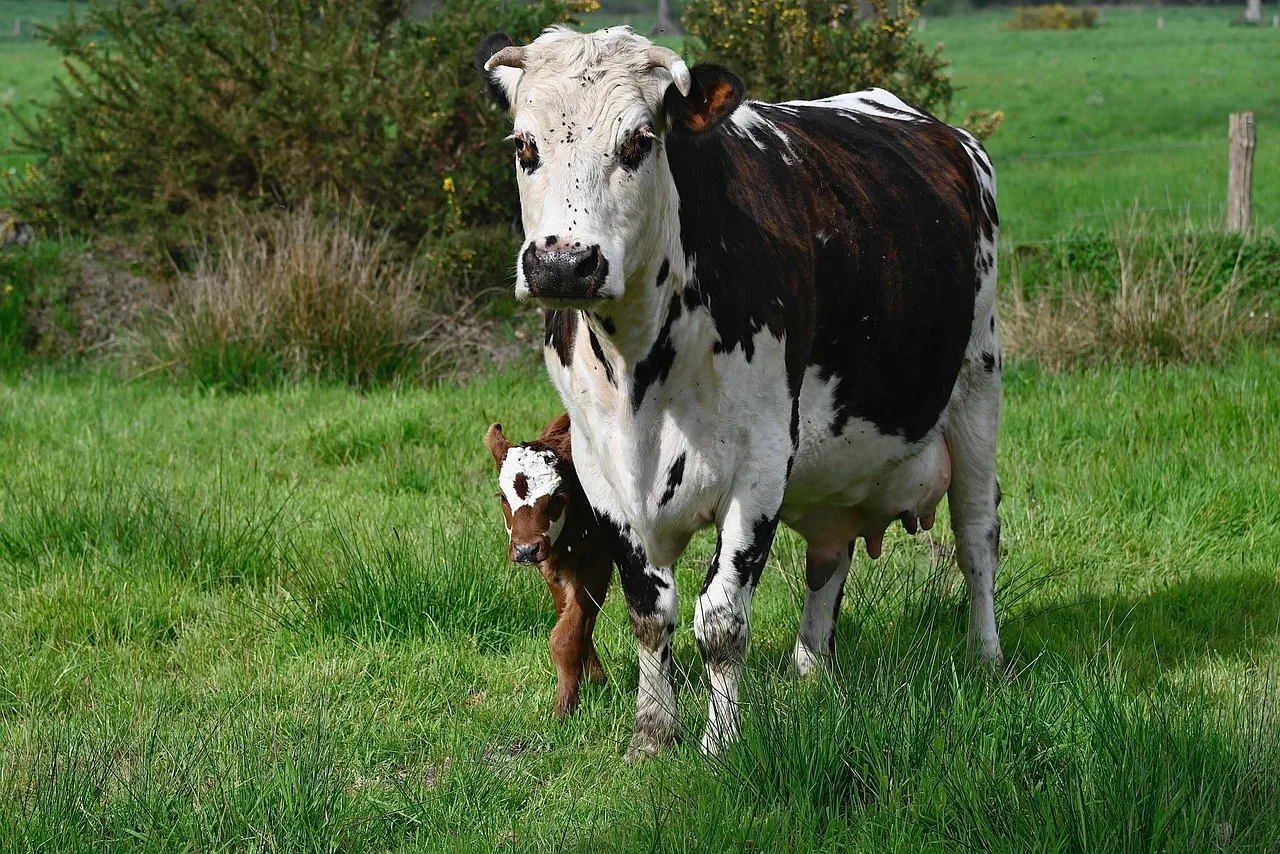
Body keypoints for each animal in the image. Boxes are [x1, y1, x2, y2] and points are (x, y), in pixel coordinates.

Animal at [485, 415, 611, 718]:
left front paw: (565, 708)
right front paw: (596, 680)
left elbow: (566, 636)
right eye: (503, 497)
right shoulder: (553, 568)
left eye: (556, 498)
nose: (525, 549)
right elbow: (574, 621)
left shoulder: (598, 561)